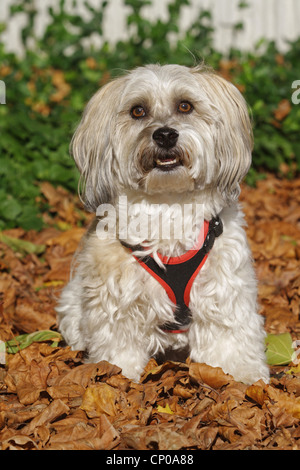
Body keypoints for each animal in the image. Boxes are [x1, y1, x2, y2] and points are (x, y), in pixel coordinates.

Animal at [56, 64, 270, 384]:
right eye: (137, 111)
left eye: (185, 106)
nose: (165, 135)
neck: (167, 204)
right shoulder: (117, 296)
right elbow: (119, 345)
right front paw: (117, 377)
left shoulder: (223, 289)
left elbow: (228, 339)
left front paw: (242, 376)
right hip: (72, 302)